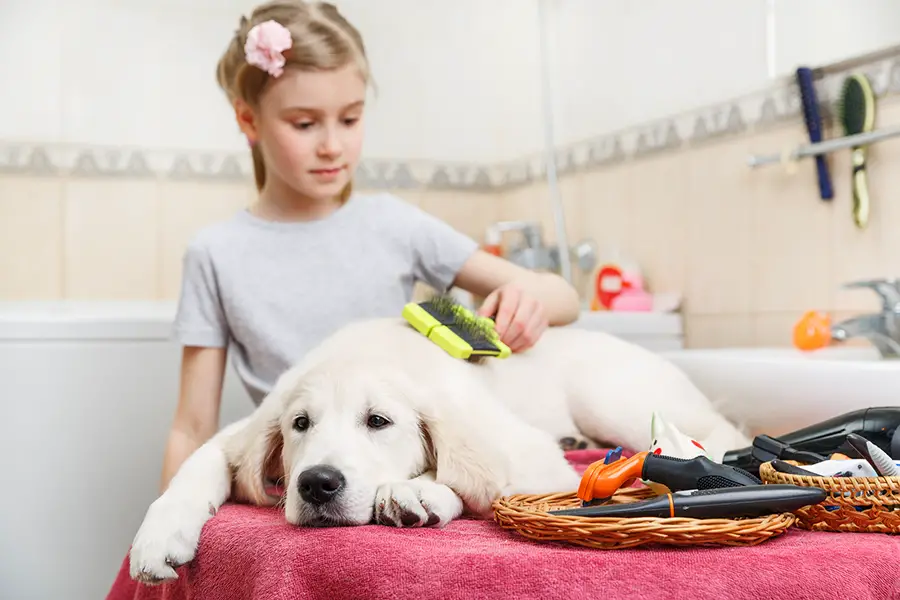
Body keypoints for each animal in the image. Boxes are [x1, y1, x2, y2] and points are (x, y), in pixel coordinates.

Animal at [126, 318, 744, 584]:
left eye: (379, 421)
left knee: (711, 432)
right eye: (300, 424)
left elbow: (473, 473)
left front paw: (416, 492)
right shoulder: (240, 432)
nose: (317, 484)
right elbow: (195, 466)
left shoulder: (525, 453)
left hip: (612, 396)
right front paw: (157, 540)